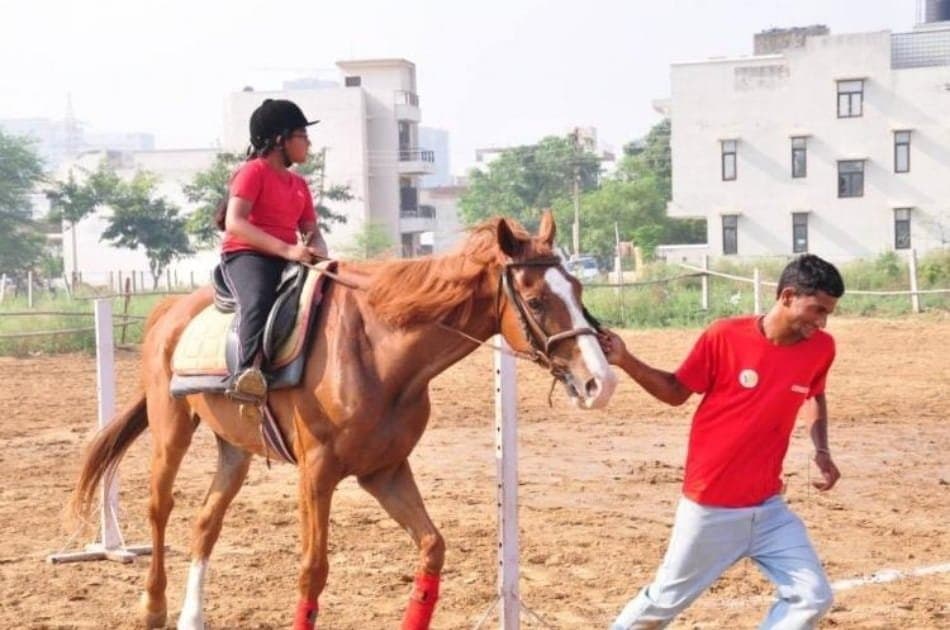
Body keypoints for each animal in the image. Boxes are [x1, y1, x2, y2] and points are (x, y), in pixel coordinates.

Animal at [69, 211, 617, 629]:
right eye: (537, 299)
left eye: (577, 288)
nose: (601, 382)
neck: (378, 350)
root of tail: (170, 308)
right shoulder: (317, 476)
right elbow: (313, 571)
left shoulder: (385, 472)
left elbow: (432, 548)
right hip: (172, 431)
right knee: (160, 508)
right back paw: (153, 607)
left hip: (236, 449)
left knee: (206, 523)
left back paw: (191, 616)